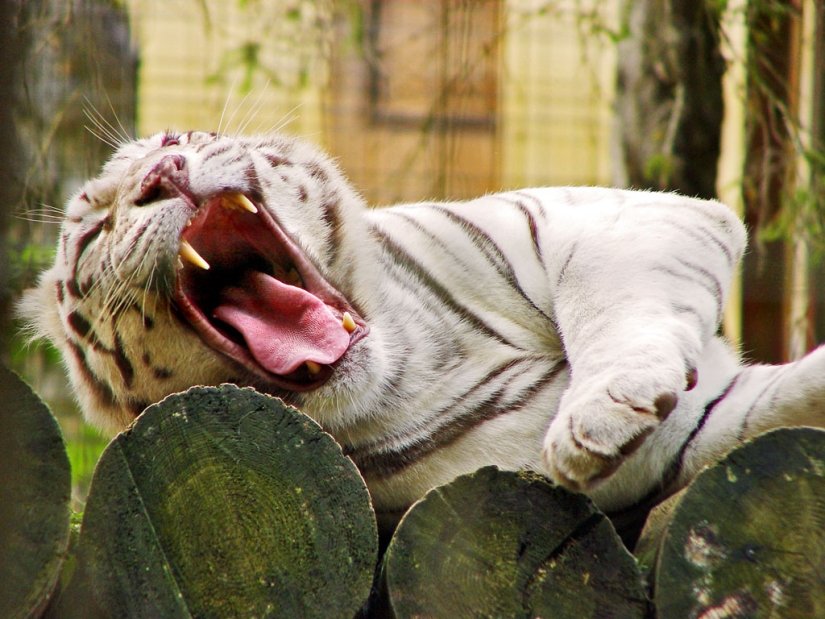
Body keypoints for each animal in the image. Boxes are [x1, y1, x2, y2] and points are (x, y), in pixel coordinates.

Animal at [18, 129, 825, 531]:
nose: (167, 169)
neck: (415, 359)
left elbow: (610, 303)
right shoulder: (681, 434)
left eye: (173, 138)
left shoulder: (619, 217)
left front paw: (597, 410)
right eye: (93, 230)